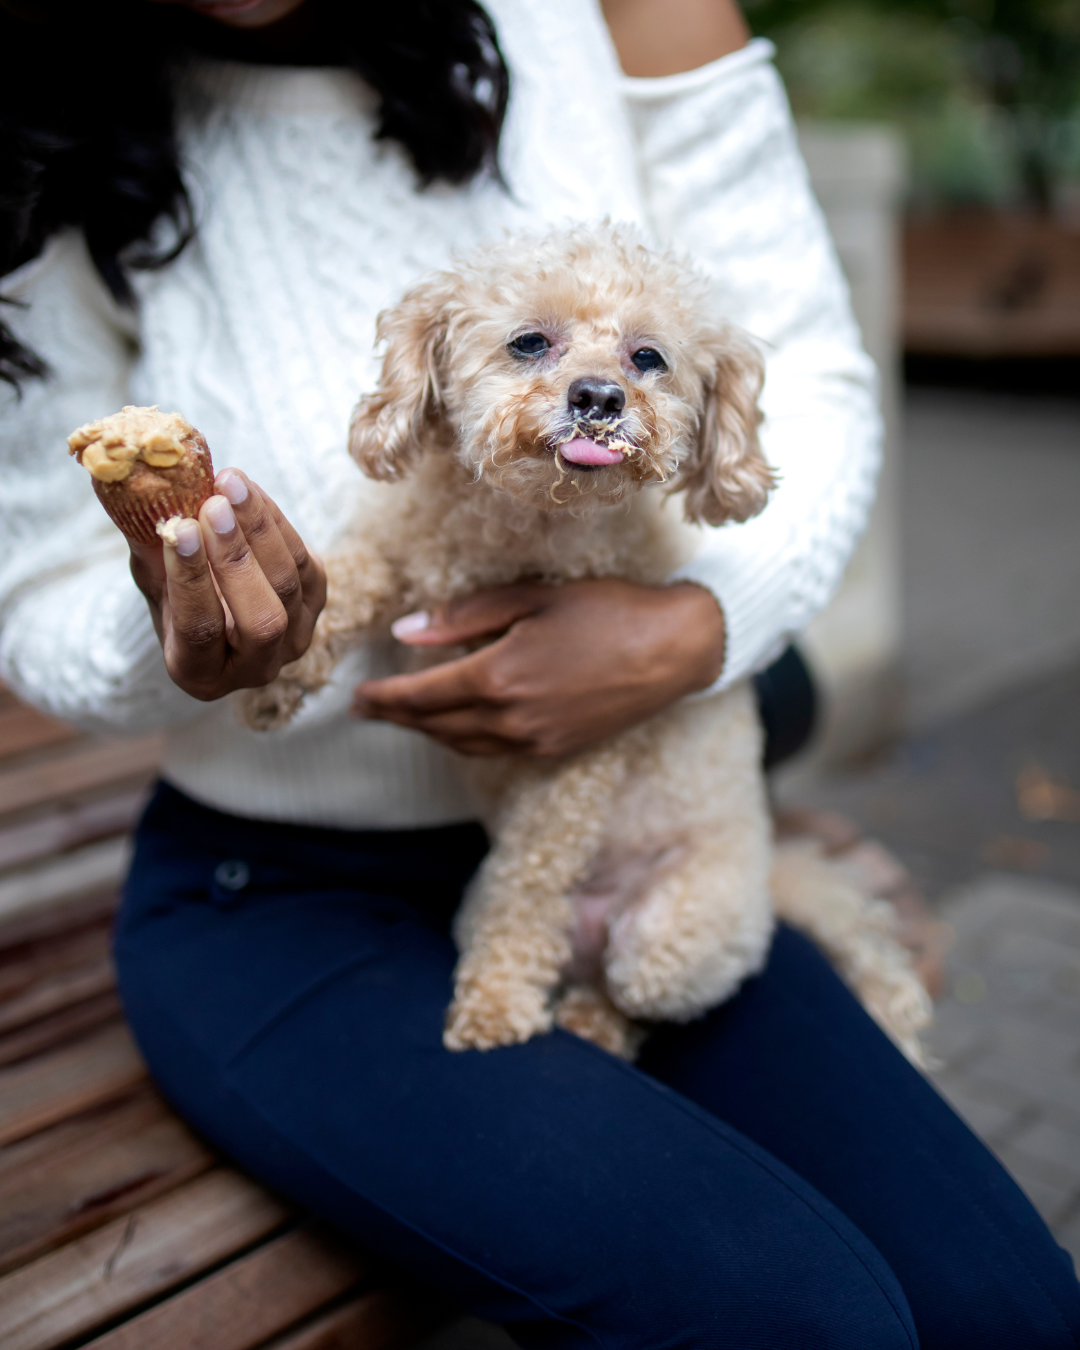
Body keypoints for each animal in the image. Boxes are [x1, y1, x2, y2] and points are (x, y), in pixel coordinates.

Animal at [243, 226, 928, 1058]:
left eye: (648, 358)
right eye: (530, 343)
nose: (599, 398)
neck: (522, 526)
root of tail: (774, 874)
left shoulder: (572, 739)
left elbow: (532, 880)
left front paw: (497, 1002)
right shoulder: (397, 553)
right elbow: (342, 582)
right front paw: (274, 673)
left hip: (678, 936)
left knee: (634, 991)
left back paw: (593, 1022)